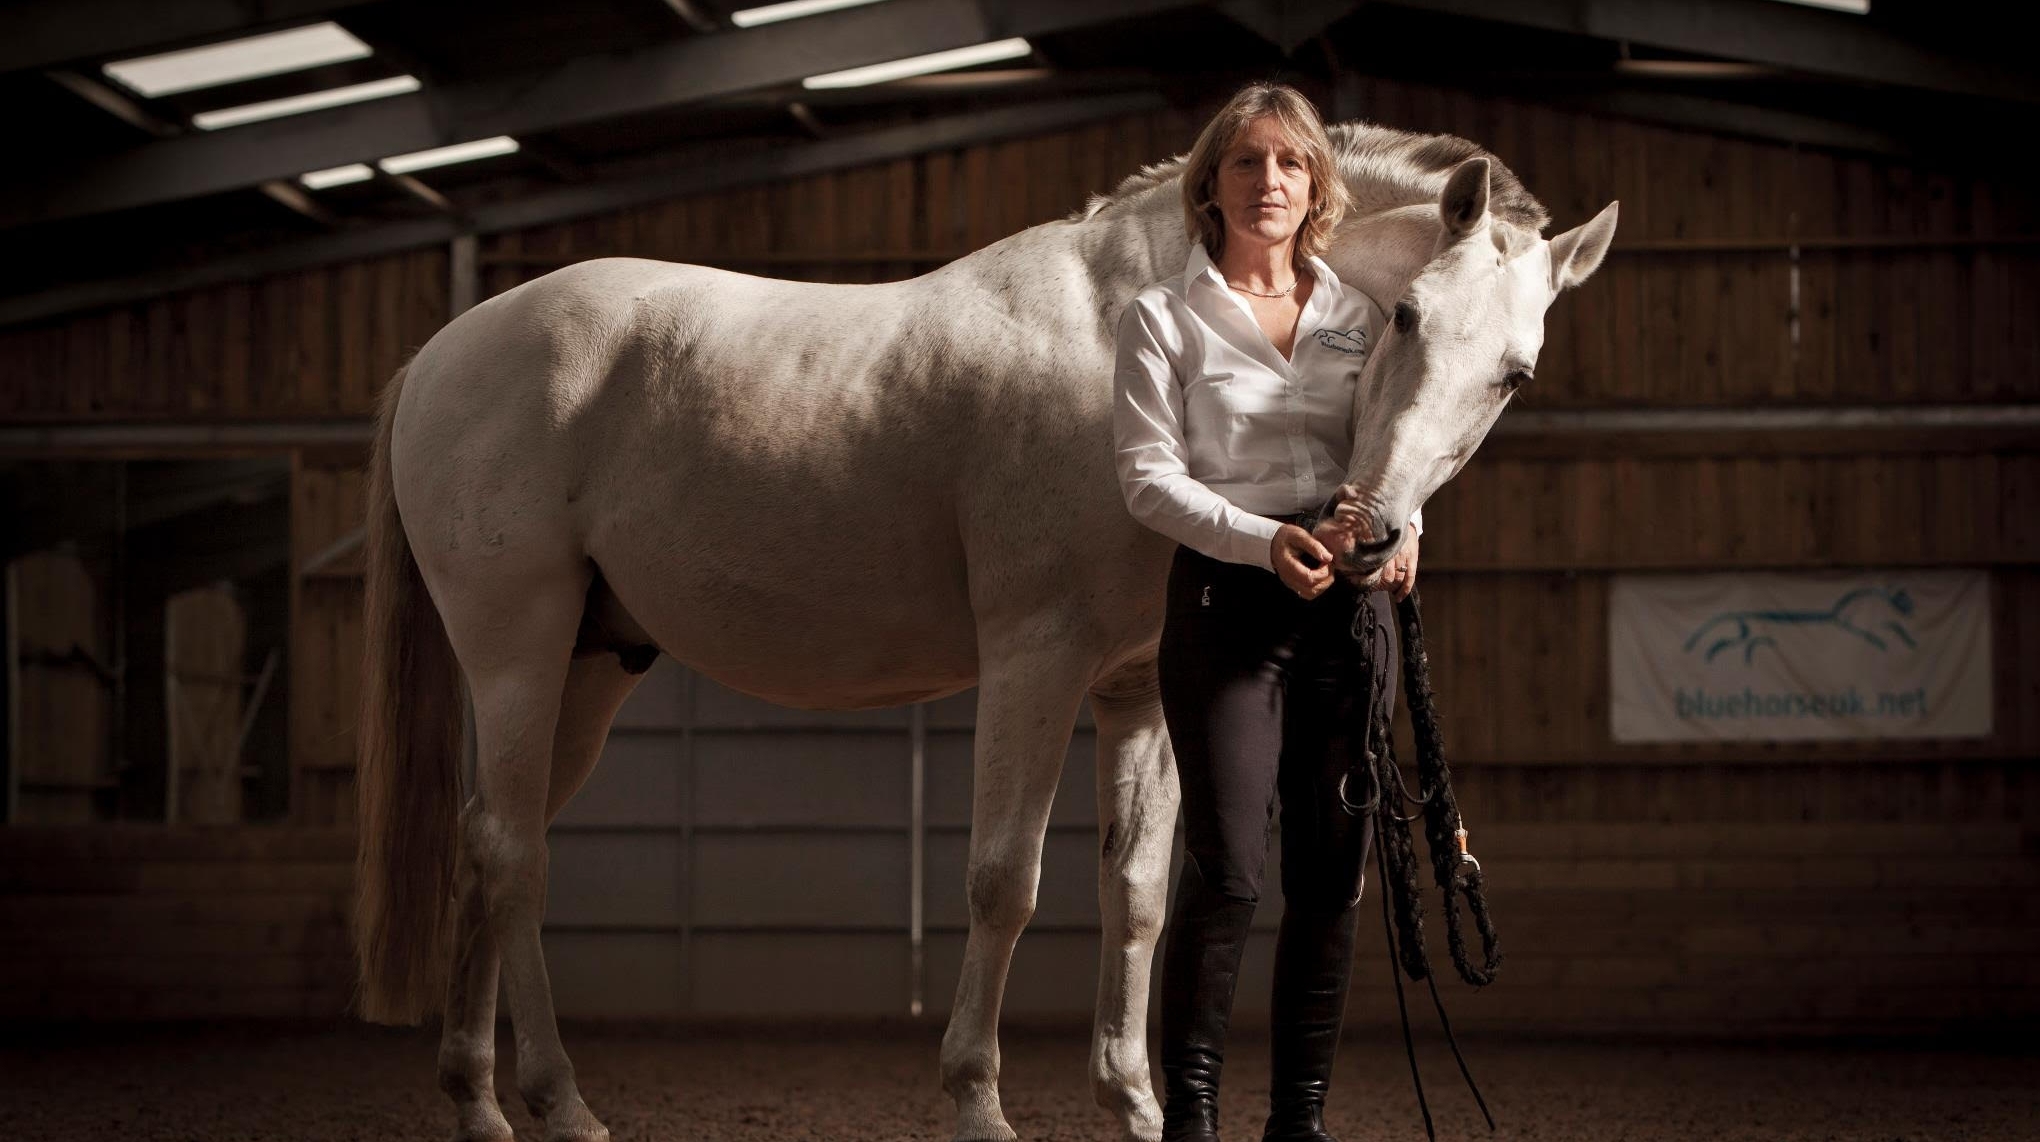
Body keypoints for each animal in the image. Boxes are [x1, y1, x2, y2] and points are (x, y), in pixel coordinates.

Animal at [351, 120, 1618, 1142]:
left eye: (1515, 373)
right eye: (1405, 315)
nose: (1369, 535)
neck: (1118, 348)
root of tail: (441, 352)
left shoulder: (1138, 689)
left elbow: (1138, 889)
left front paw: (1137, 1103)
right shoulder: (1033, 657)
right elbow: (1006, 878)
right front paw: (977, 1099)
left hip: (587, 668)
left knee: (487, 844)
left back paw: (478, 1099)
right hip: (516, 651)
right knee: (515, 854)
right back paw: (560, 1100)